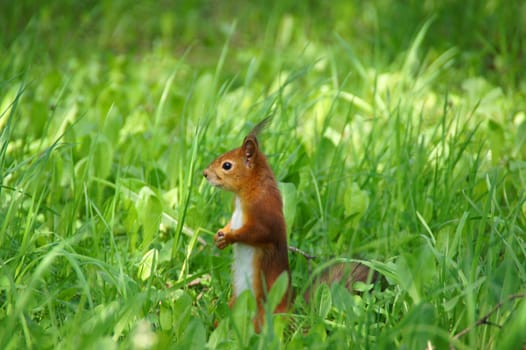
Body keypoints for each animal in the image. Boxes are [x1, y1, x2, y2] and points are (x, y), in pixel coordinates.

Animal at [204, 117, 382, 330]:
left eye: (227, 165)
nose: (205, 173)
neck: (246, 192)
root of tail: (292, 312)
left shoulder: (265, 215)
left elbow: (256, 233)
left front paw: (230, 237)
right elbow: (231, 224)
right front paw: (220, 235)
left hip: (264, 310)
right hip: (236, 302)